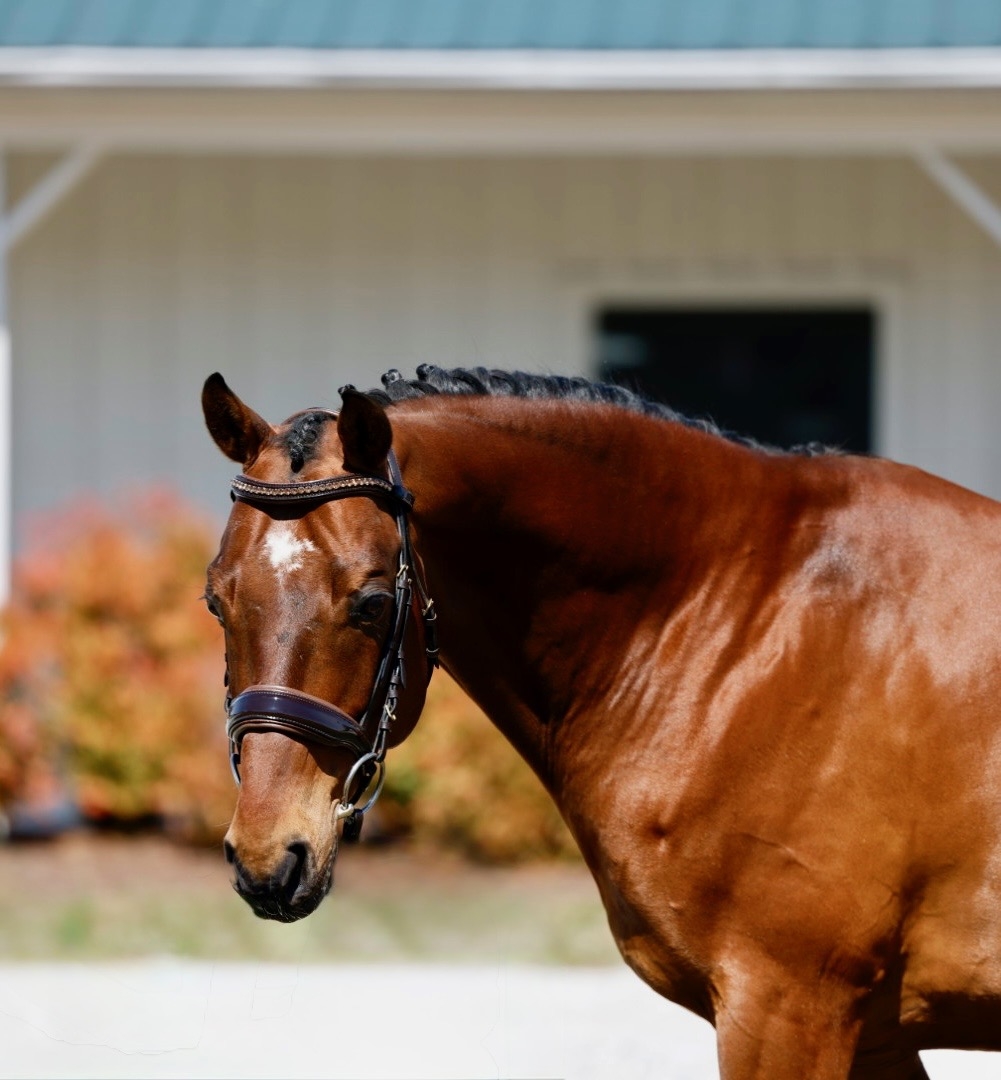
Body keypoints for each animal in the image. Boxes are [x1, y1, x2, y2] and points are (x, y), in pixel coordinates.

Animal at [202, 364, 1001, 1079]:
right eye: (216, 599)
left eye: (370, 603)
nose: (268, 858)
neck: (741, 621)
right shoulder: (873, 1036)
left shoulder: (787, 1009)